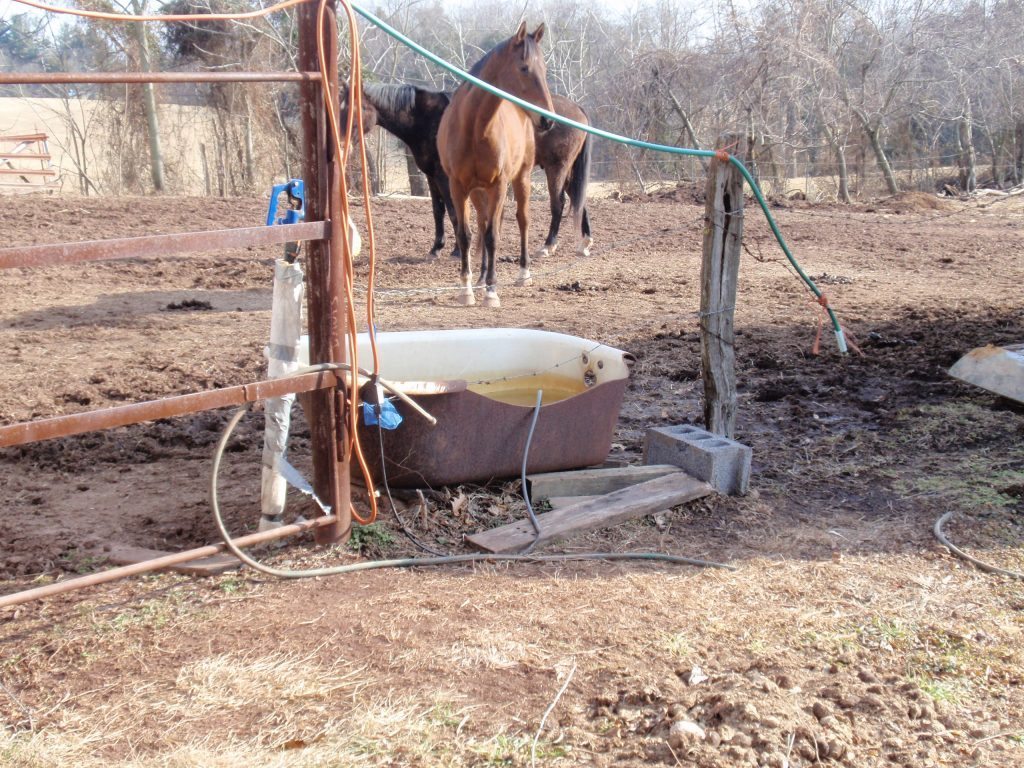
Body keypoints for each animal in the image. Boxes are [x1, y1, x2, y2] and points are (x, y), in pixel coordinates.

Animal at [436, 22, 557, 309]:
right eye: (524, 68)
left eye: (544, 69)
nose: (547, 120)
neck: (473, 127)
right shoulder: (458, 187)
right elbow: (466, 235)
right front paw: (467, 289)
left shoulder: (499, 186)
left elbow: (493, 236)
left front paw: (491, 292)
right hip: (478, 192)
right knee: (482, 224)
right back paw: (480, 279)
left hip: (520, 180)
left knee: (521, 220)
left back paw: (523, 273)